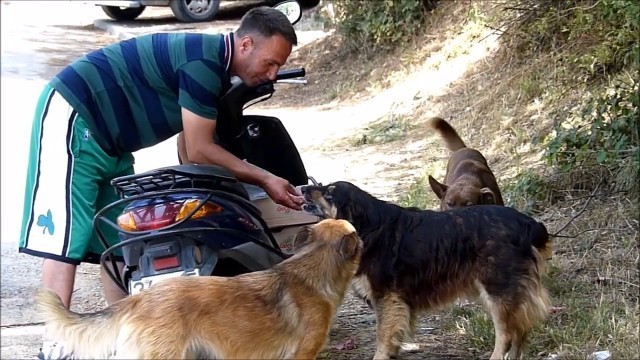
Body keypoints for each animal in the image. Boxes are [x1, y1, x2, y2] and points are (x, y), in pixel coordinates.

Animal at [300, 183, 552, 360]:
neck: (368, 227)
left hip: (498, 290)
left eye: (329, 193)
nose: (302, 188)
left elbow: (382, 336)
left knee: (507, 335)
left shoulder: (386, 297)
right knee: (520, 330)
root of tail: (529, 223)